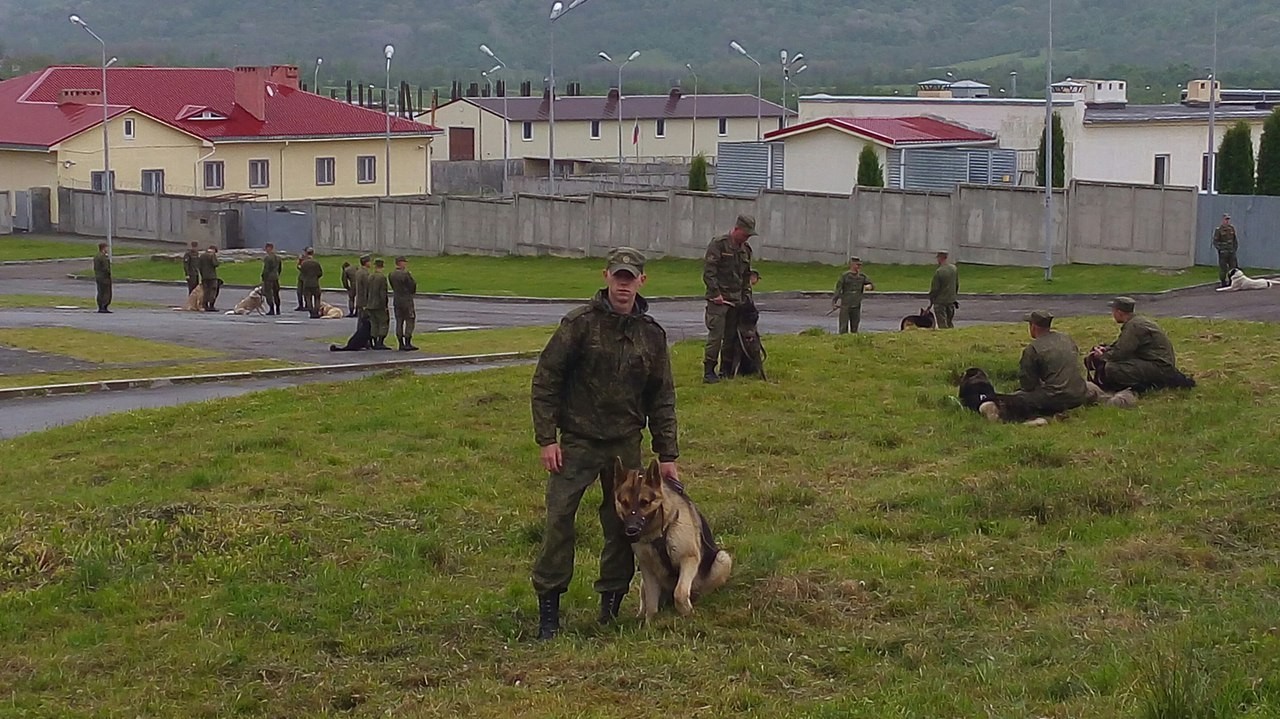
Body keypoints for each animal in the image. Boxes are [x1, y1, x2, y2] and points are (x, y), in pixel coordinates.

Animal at [614, 458, 737, 616]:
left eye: (644, 502)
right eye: (624, 503)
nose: (631, 530)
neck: (657, 533)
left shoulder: (688, 559)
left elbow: (679, 592)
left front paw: (687, 613)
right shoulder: (647, 568)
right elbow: (651, 606)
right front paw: (650, 621)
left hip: (722, 559)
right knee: (644, 599)